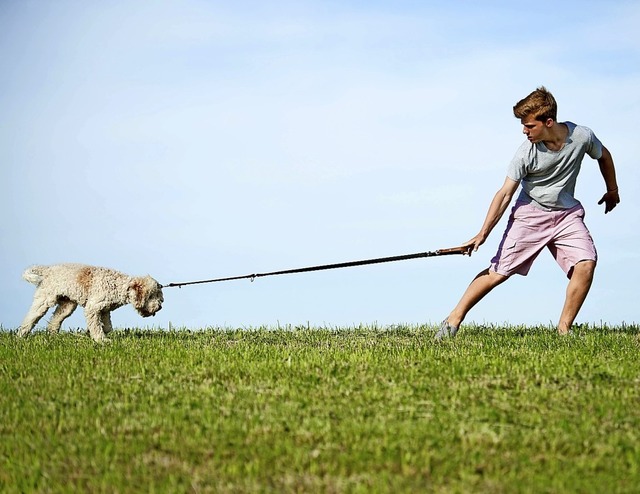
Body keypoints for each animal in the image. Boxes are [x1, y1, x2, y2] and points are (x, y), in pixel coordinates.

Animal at [17, 264, 164, 342]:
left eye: (159, 295)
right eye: (151, 295)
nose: (160, 306)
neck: (118, 285)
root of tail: (48, 270)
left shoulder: (104, 310)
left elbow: (106, 327)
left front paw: (90, 333)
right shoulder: (92, 308)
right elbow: (96, 325)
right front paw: (101, 340)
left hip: (67, 305)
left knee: (55, 319)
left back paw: (53, 335)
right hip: (44, 300)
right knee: (31, 317)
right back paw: (20, 336)